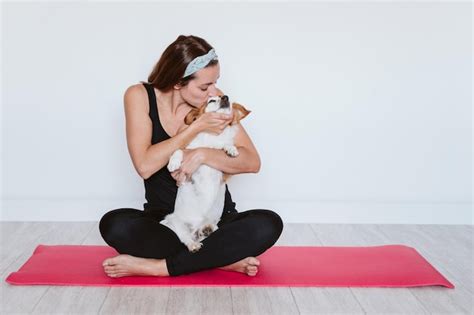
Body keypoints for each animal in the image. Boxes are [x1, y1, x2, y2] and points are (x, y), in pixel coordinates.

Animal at [160, 95, 252, 253]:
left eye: (229, 100)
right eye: (211, 100)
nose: (225, 97)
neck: (212, 138)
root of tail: (196, 229)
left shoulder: (226, 172)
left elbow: (226, 144)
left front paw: (231, 149)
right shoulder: (188, 151)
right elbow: (178, 150)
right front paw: (173, 163)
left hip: (210, 226)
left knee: (206, 232)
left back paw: (207, 229)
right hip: (176, 223)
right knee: (185, 238)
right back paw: (193, 244)